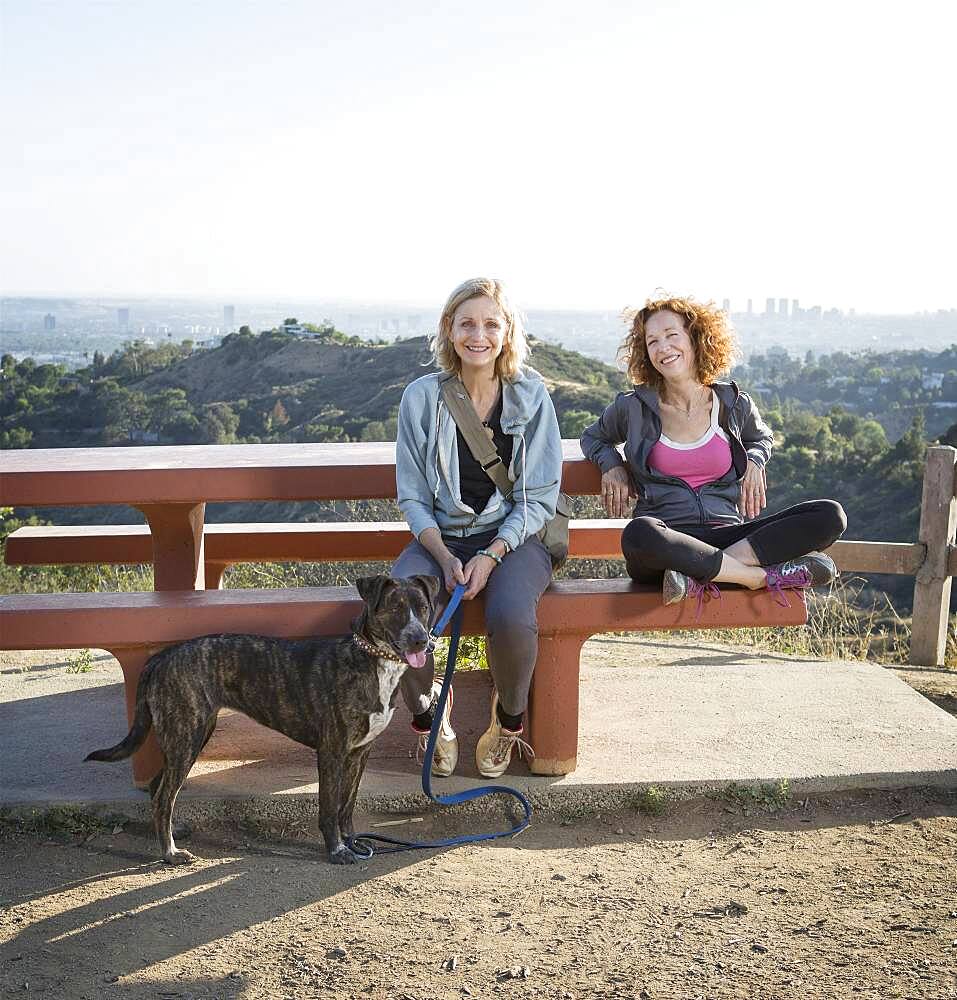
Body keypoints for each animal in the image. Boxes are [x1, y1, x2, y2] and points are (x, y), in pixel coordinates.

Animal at [86, 576, 436, 864]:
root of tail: (161, 657)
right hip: (187, 736)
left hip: (191, 736)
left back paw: (172, 832)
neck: (372, 662)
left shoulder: (360, 752)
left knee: (159, 787)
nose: (422, 641)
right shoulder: (332, 752)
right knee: (163, 796)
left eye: (422, 608)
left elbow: (346, 806)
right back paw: (169, 853)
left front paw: (353, 842)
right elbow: (328, 807)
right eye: (395, 607)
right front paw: (337, 850)